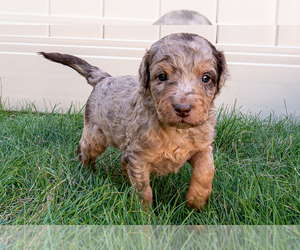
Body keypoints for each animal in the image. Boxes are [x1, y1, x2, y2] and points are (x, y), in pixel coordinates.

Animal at [39, 32, 227, 210]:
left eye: (206, 78)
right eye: (162, 76)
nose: (183, 108)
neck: (177, 130)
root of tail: (104, 78)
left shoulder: (203, 145)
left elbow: (206, 170)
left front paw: (197, 201)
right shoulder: (139, 157)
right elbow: (143, 190)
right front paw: (143, 215)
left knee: (123, 159)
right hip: (95, 134)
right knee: (85, 150)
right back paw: (87, 174)